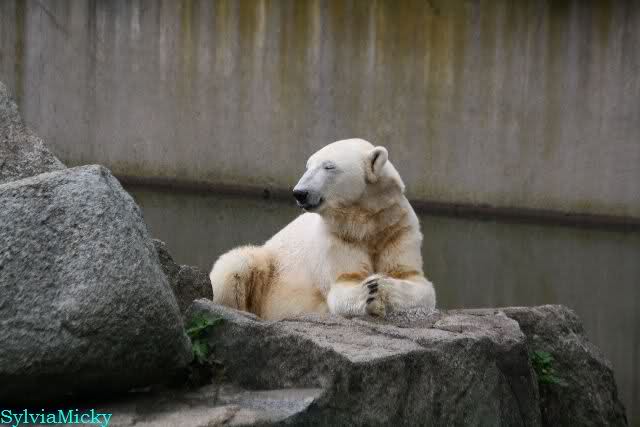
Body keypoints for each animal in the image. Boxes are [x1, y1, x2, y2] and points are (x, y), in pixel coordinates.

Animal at [209, 138, 436, 320]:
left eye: (329, 166)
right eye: (308, 166)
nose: (300, 192)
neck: (366, 224)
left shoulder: (397, 229)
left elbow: (414, 279)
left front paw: (383, 286)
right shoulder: (337, 237)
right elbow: (343, 282)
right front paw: (370, 290)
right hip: (269, 268)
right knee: (237, 264)